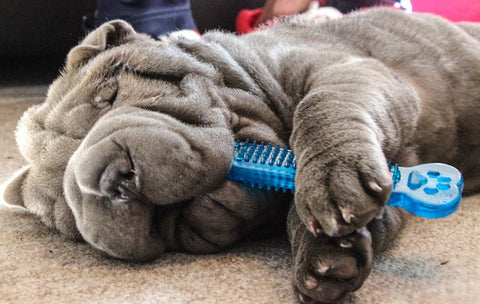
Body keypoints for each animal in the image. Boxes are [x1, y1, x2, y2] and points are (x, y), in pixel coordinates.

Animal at [3, 7, 480, 304]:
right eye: (68, 212)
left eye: (110, 95)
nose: (104, 178)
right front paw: (329, 254)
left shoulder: (348, 68)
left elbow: (323, 107)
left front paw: (332, 181)